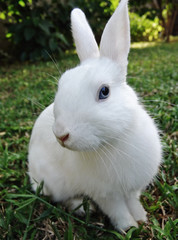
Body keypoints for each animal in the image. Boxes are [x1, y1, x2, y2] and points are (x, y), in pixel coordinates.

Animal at [27, 0, 161, 232]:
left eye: (104, 91)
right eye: (61, 84)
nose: (61, 135)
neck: (113, 142)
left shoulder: (131, 189)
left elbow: (133, 202)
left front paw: (141, 218)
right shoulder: (107, 195)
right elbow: (118, 211)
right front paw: (129, 228)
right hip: (54, 183)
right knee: (60, 198)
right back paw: (81, 207)